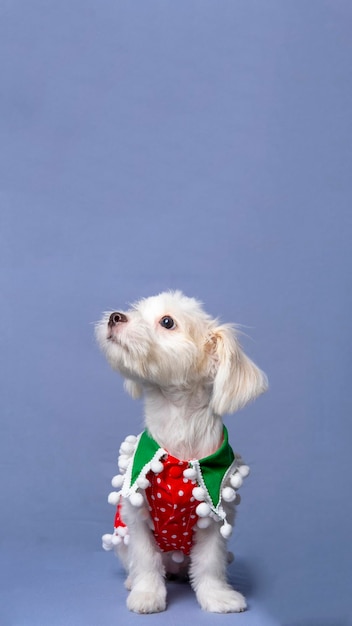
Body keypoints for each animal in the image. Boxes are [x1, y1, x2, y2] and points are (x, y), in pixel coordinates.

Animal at [95, 290, 266, 612]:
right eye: (137, 310)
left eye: (167, 322)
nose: (115, 316)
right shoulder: (137, 515)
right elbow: (146, 559)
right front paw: (147, 594)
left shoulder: (214, 519)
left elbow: (210, 564)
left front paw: (217, 596)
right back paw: (133, 581)